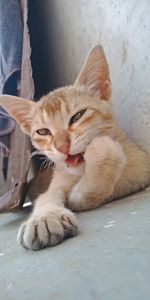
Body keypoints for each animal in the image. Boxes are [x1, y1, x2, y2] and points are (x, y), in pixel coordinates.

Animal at [0, 44, 150, 250]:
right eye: (43, 132)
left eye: (78, 116)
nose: (62, 147)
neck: (80, 172)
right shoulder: (56, 186)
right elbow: (50, 198)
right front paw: (43, 219)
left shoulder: (140, 170)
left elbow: (86, 194)